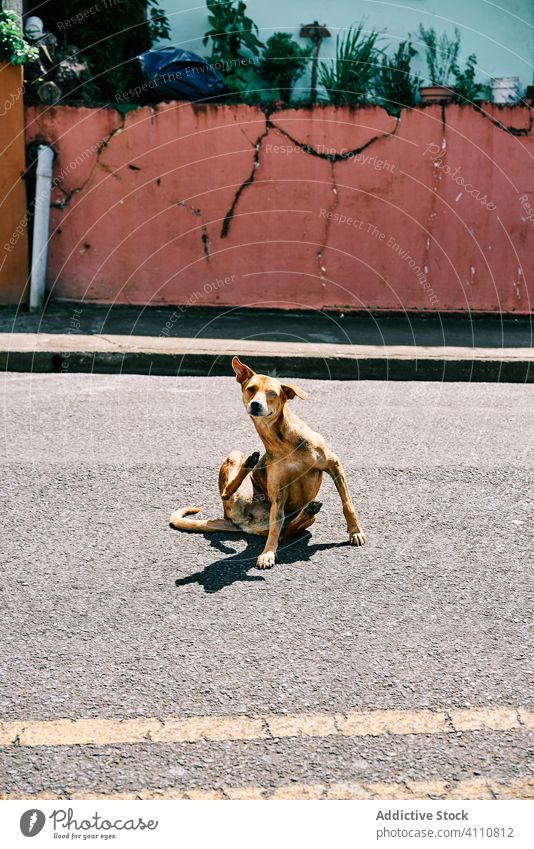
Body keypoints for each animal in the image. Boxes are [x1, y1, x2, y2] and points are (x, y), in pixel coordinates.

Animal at [170, 354, 366, 568]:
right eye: (251, 389)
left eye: (272, 393)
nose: (255, 404)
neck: (281, 439)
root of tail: (238, 522)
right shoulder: (278, 491)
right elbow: (275, 531)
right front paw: (268, 553)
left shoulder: (334, 465)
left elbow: (347, 503)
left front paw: (355, 531)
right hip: (236, 459)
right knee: (230, 495)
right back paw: (249, 463)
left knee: (286, 531)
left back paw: (308, 510)